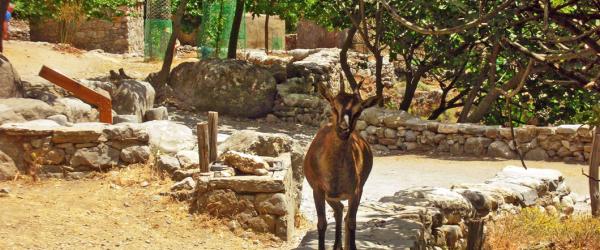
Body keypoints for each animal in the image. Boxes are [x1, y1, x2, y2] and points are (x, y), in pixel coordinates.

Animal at [304, 76, 380, 250]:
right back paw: (336, 245)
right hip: (329, 197)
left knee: (343, 213)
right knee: (338, 209)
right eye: (333, 105)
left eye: (359, 110)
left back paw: (340, 245)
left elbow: (352, 222)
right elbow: (321, 223)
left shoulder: (356, 191)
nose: (343, 129)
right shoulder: (318, 189)